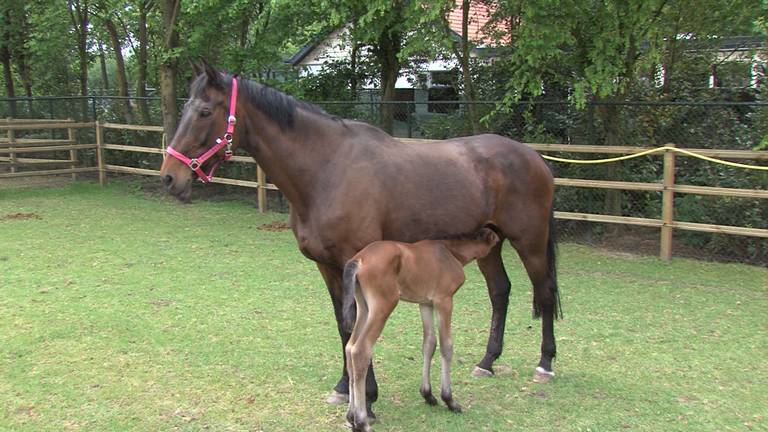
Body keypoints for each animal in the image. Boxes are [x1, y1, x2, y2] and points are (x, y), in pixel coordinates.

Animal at [340, 228, 498, 430]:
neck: (451, 252)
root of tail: (359, 259)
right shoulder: (444, 300)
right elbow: (446, 346)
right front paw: (449, 400)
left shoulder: (425, 304)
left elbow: (429, 344)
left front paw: (428, 395)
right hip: (383, 306)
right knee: (360, 350)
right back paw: (361, 421)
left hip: (363, 307)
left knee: (350, 347)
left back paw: (351, 416)